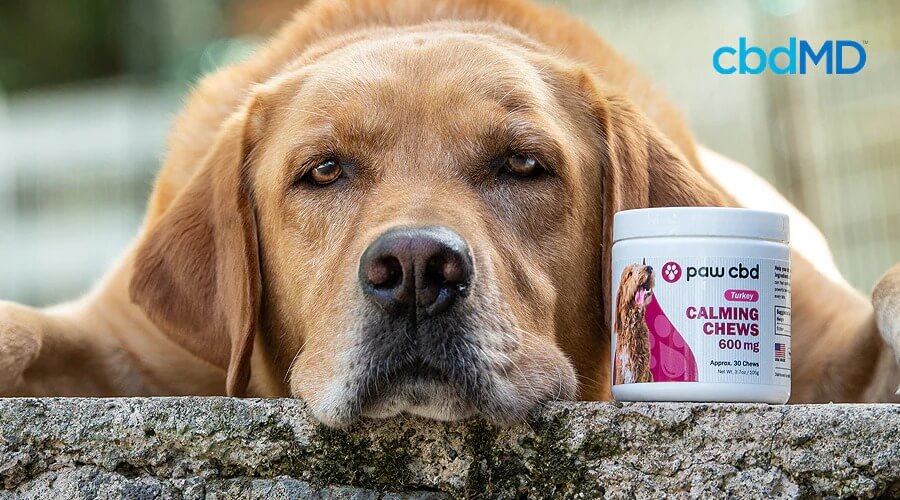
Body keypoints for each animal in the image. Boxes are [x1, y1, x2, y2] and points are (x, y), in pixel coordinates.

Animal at [0, 0, 896, 426]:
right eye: (323, 171)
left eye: (524, 165)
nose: (415, 272)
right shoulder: (125, 339)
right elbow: (23, 328)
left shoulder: (823, 350)